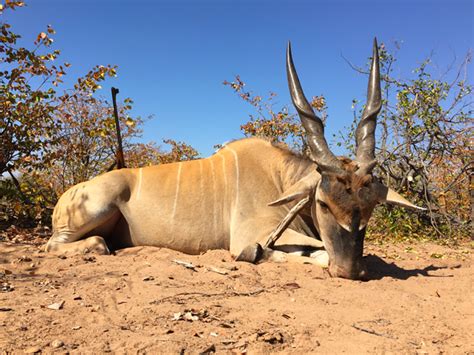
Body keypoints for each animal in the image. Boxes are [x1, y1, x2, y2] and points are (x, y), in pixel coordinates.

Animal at [45, 38, 422, 278]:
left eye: (370, 206)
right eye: (324, 204)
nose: (351, 271)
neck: (281, 179)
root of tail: (66, 197)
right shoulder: (251, 234)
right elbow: (311, 252)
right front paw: (261, 255)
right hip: (96, 208)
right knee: (63, 245)